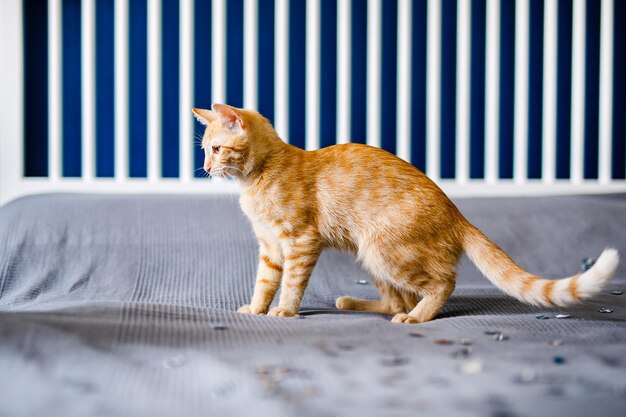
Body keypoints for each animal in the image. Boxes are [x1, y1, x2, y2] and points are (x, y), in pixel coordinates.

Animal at [193, 105, 616, 324]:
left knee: (442, 285)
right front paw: (257, 309)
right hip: (371, 257)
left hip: (382, 250)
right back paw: (357, 304)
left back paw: (419, 316)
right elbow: (264, 282)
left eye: (215, 149)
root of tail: (457, 214)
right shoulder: (269, 248)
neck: (260, 176)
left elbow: (292, 283)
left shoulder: (300, 241)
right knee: (398, 300)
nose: (206, 168)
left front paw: (284, 310)